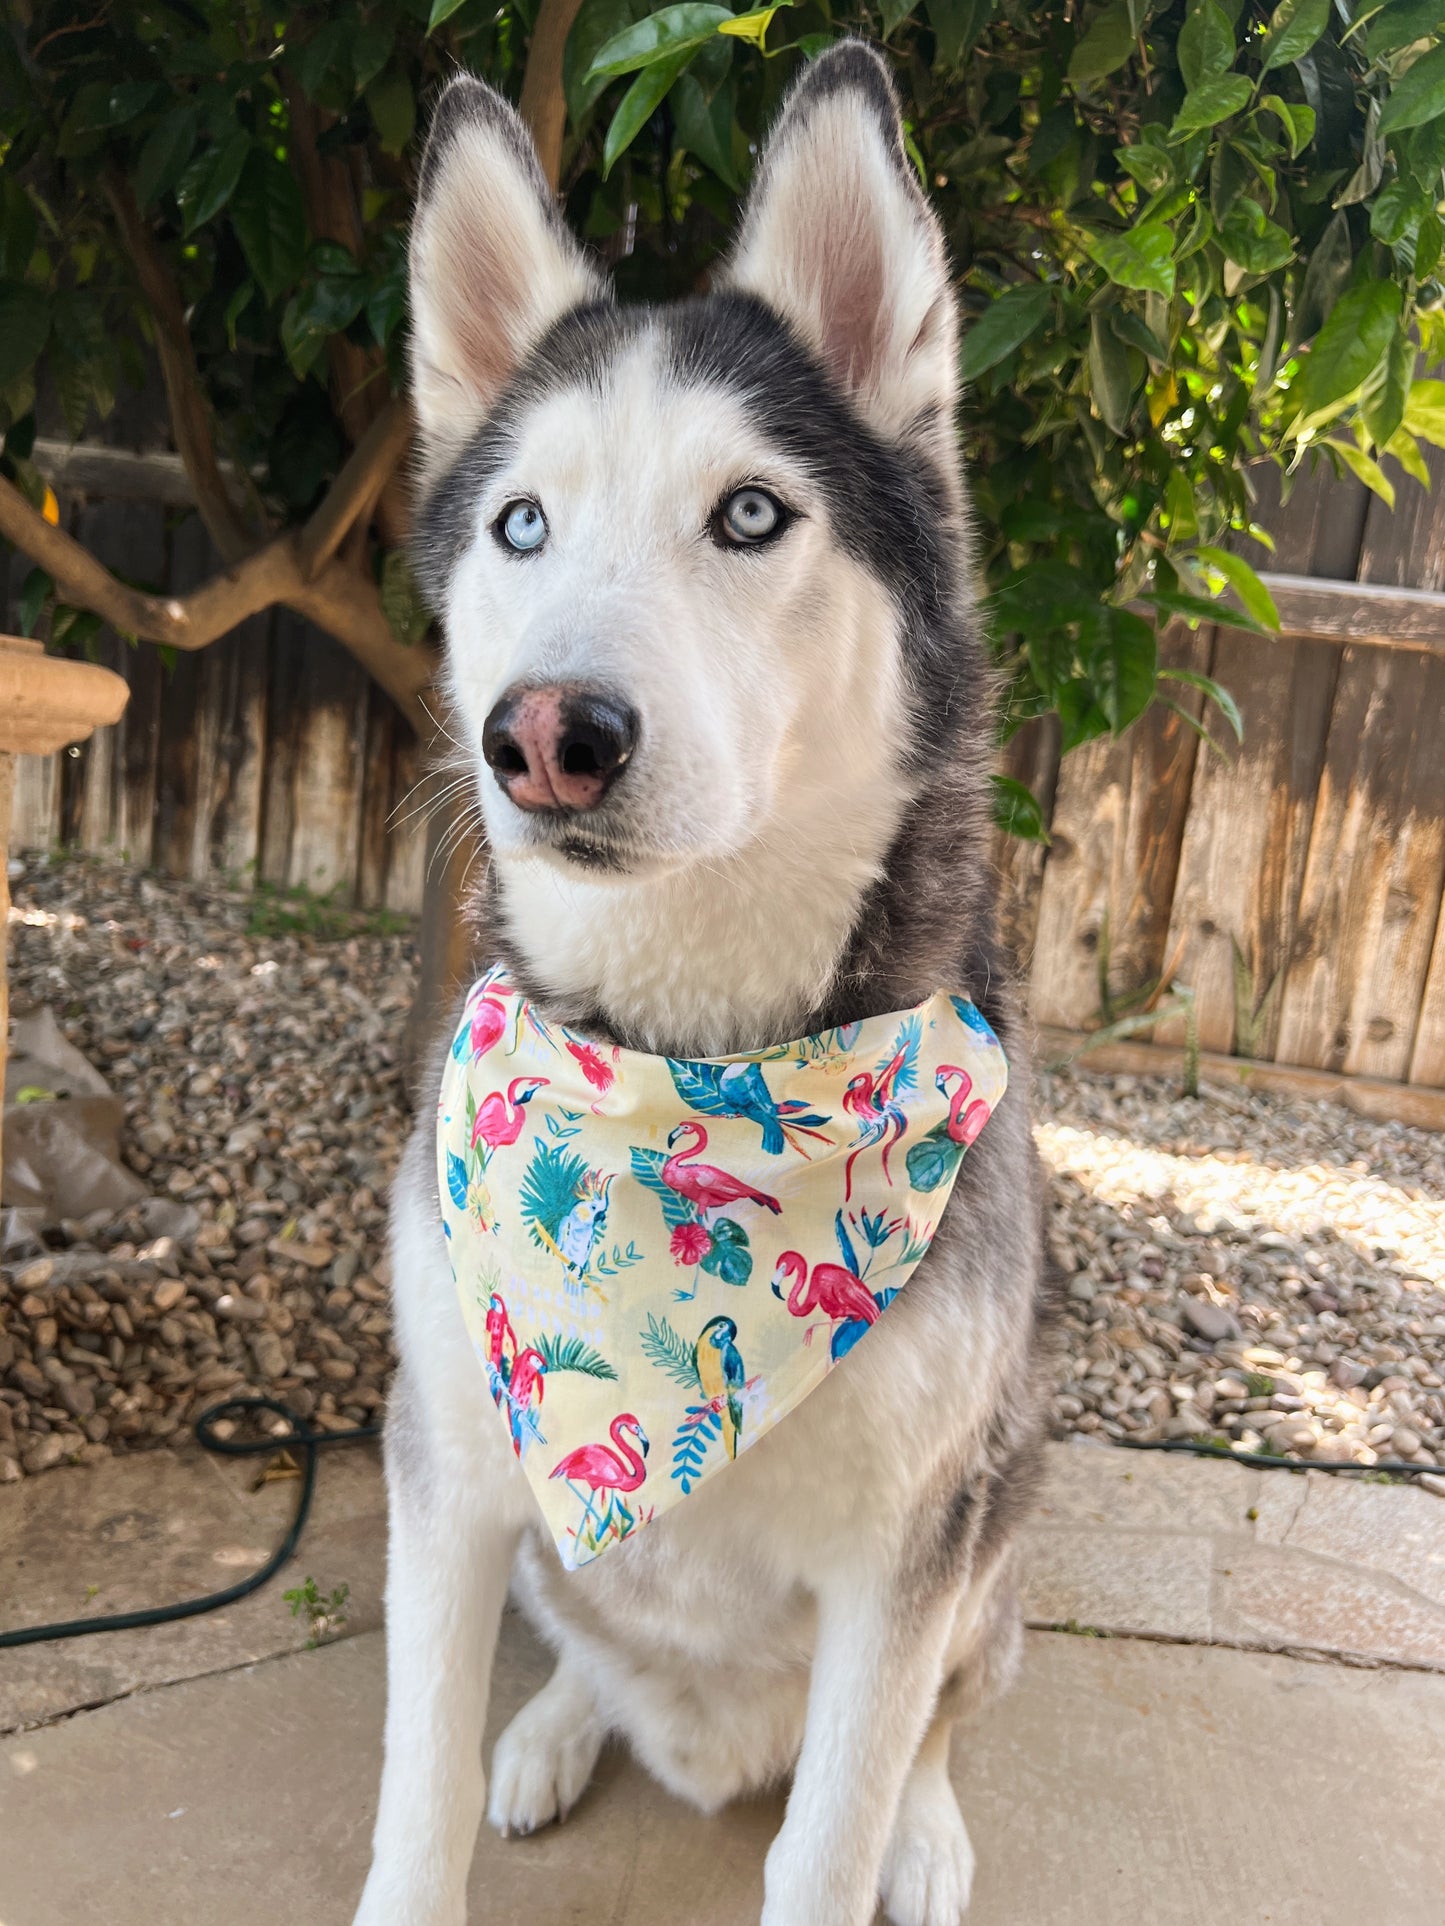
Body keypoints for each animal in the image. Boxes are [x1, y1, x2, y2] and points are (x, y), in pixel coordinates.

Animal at [350, 41, 1055, 1926]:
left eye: (751, 512)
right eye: (520, 522)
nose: (543, 735)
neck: (681, 1063)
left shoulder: (903, 1560)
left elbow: (831, 1839)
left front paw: (885, 1839)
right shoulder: (451, 1476)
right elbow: (412, 1803)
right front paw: (475, 1776)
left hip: (1004, 1508)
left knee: (941, 1723)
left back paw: (932, 1833)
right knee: (590, 1658)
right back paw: (555, 1732)